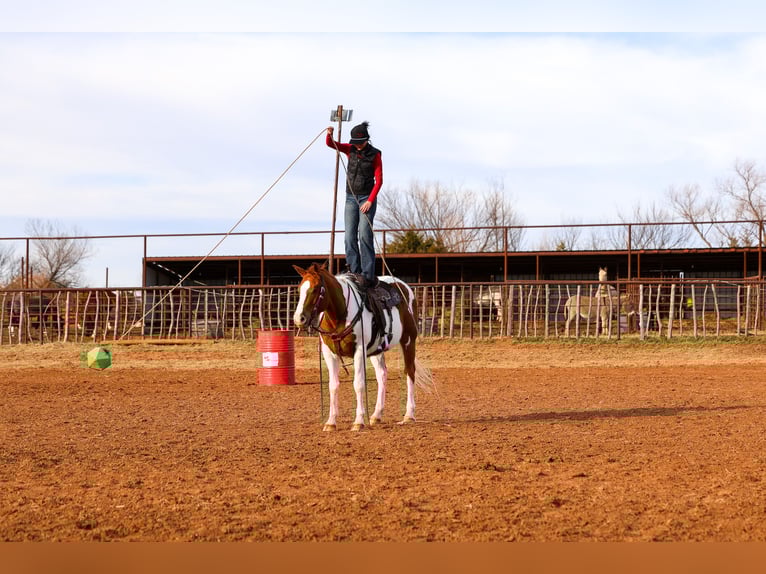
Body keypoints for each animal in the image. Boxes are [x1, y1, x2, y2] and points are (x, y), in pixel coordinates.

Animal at [292, 263, 433, 431]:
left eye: (315, 289)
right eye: (299, 289)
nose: (299, 318)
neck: (339, 314)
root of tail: (403, 286)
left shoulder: (359, 350)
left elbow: (358, 384)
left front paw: (358, 421)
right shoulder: (329, 353)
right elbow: (333, 386)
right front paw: (331, 422)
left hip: (408, 340)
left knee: (410, 371)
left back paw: (409, 415)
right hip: (377, 349)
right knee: (382, 374)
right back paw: (376, 415)